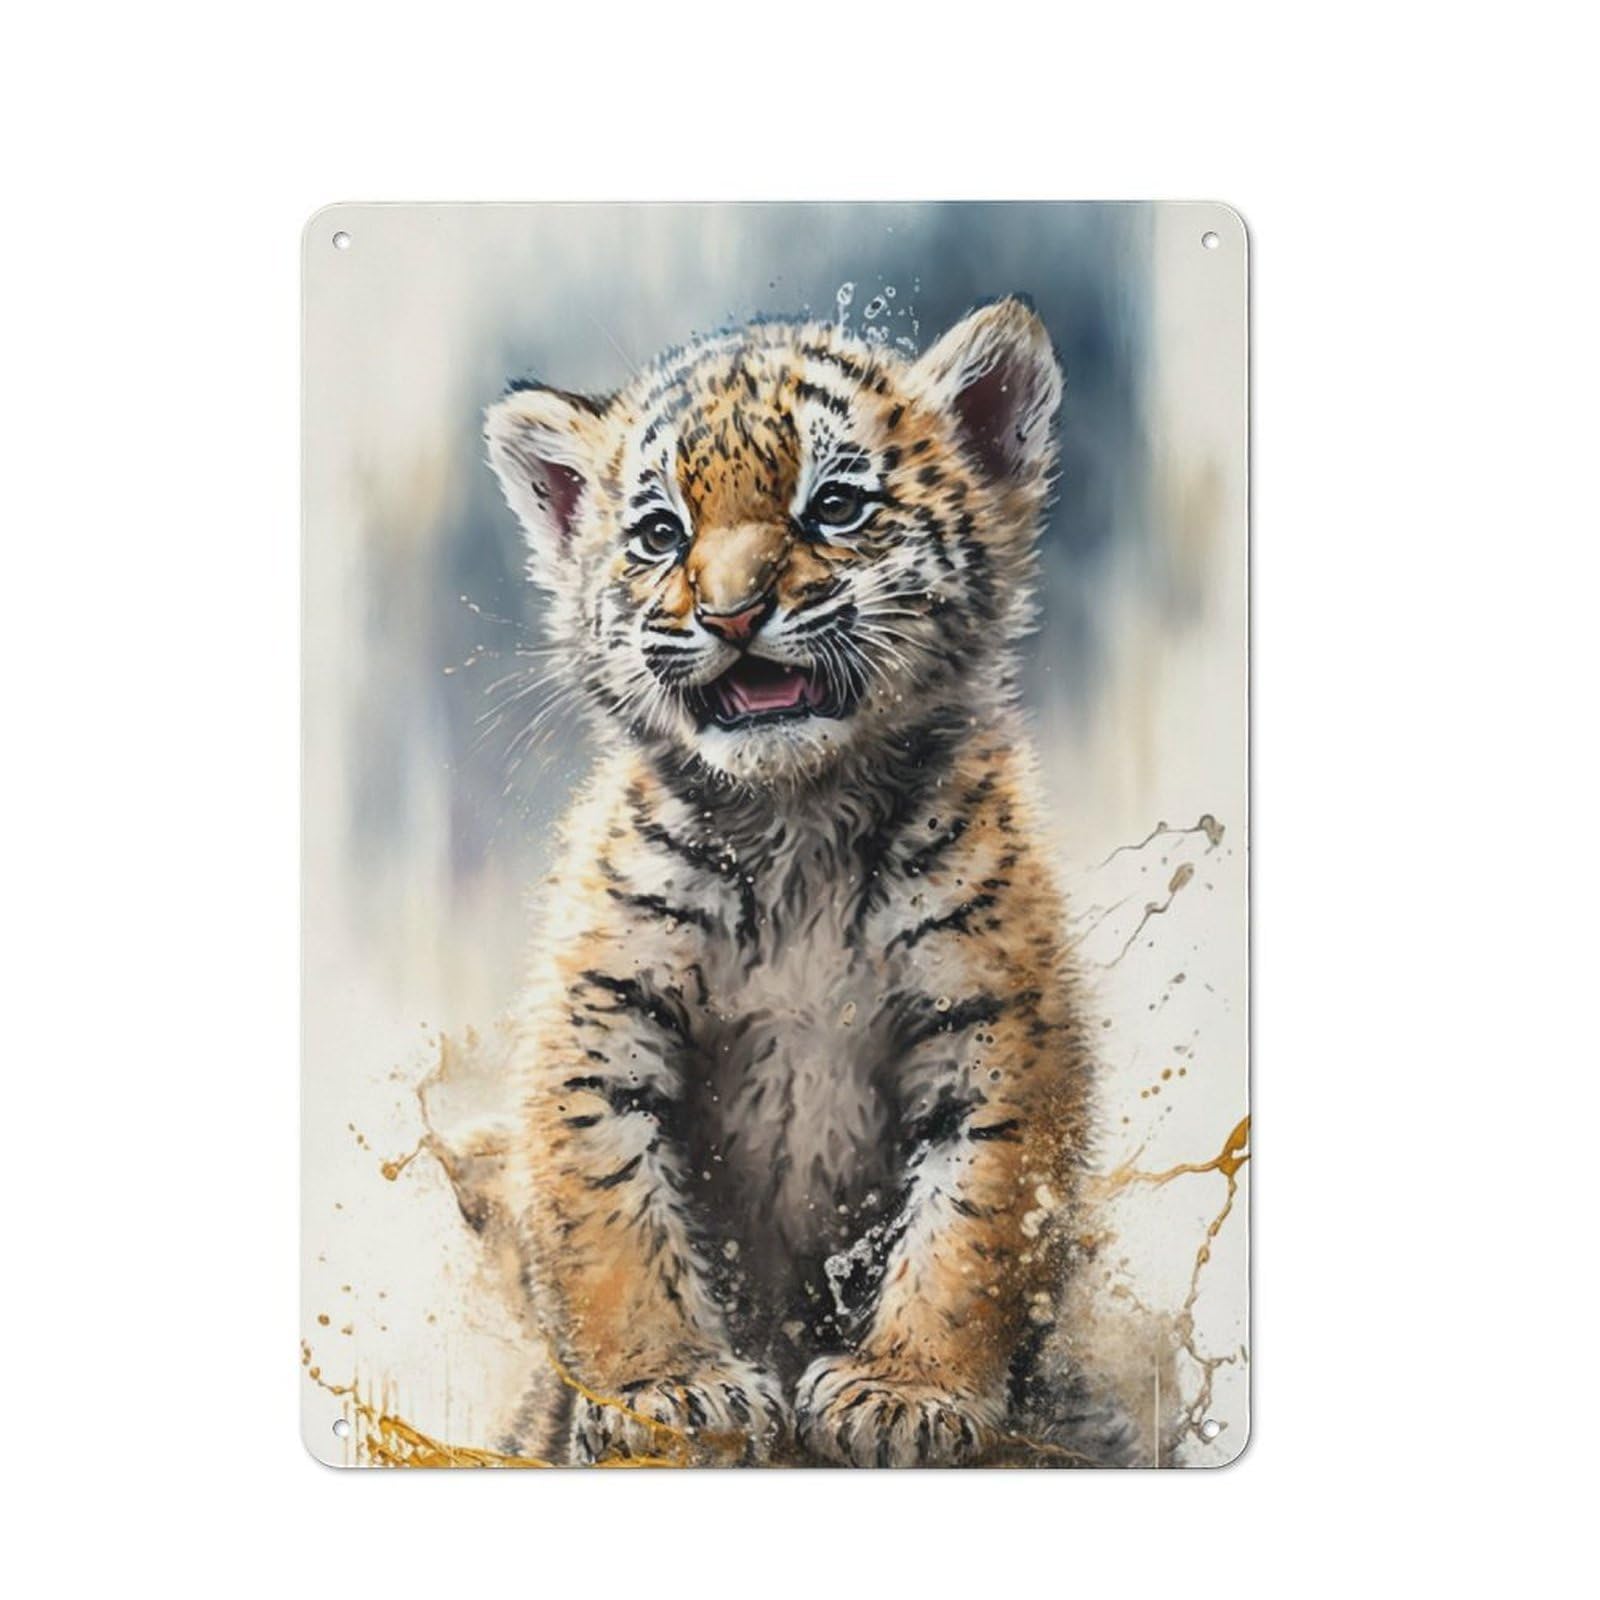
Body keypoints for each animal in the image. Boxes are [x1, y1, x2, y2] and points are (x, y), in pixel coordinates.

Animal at [483, 296, 1095, 1466]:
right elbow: (610, 1213)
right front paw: (667, 1389)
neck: (799, 815)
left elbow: (972, 1224)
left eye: (836, 506)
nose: (730, 614)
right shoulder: (601, 1018)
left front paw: (908, 1392)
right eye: (661, 533)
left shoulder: (995, 1025)